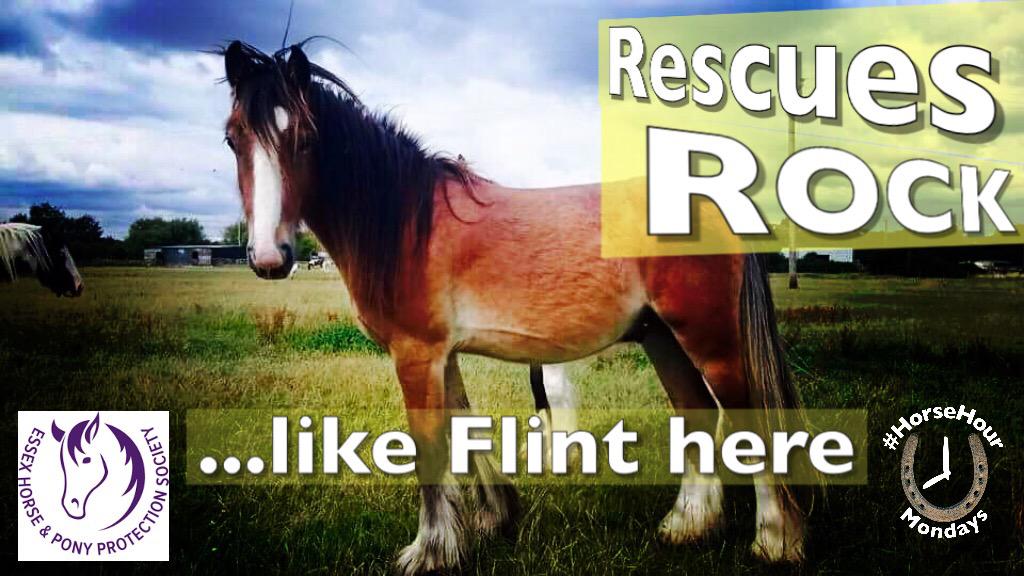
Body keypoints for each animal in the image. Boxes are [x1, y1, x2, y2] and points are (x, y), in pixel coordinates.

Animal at [219, 40, 805, 573]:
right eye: (232, 138)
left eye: (304, 138)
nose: (270, 257)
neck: (406, 222)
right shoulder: (442, 355)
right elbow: (463, 429)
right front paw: (492, 518)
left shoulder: (416, 354)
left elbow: (428, 444)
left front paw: (428, 552)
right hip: (663, 339)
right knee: (697, 413)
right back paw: (687, 526)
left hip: (709, 339)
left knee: (749, 422)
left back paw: (775, 540)